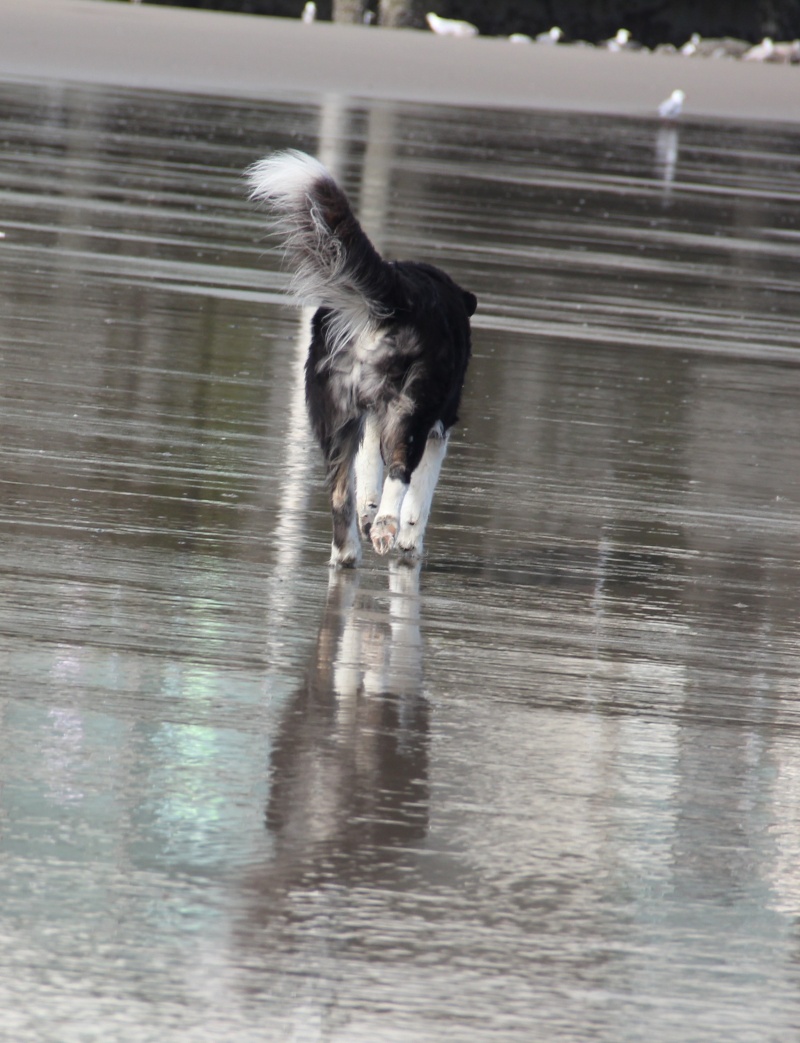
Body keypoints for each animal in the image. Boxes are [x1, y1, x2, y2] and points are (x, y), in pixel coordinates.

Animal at [247, 151, 475, 567]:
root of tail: (396, 299)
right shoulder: (439, 427)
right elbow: (420, 497)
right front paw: (408, 542)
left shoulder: (366, 420)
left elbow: (367, 475)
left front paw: (370, 517)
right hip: (411, 410)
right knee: (400, 472)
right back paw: (385, 528)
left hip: (334, 418)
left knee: (340, 494)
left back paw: (348, 552)